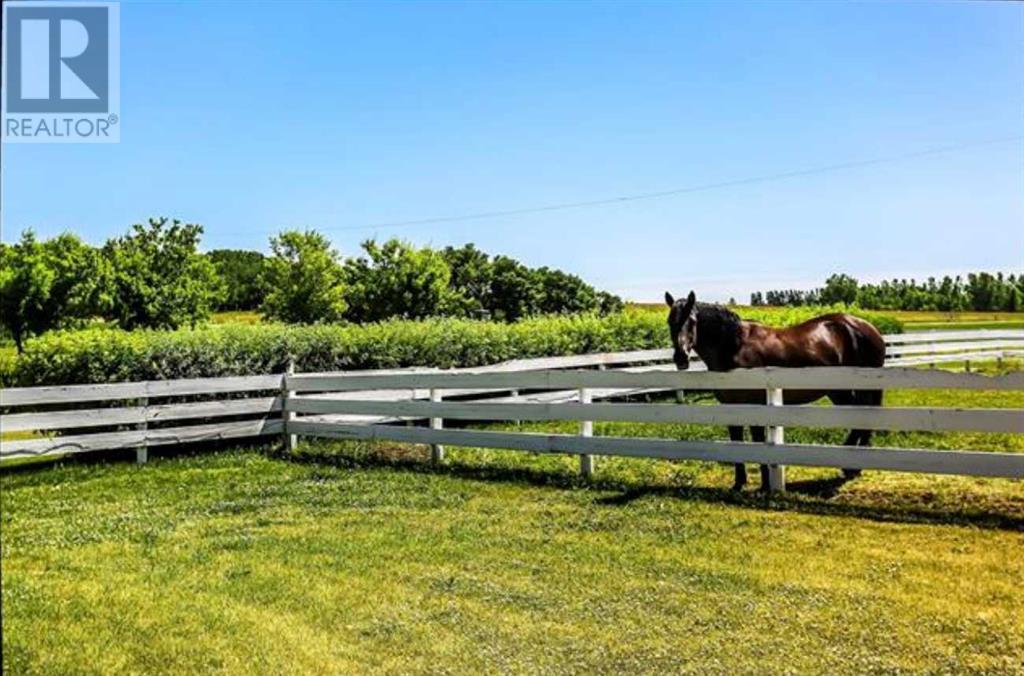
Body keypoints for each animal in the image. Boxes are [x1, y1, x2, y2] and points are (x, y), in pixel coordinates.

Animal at [667, 290, 884, 491]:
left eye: (692, 321)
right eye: (670, 321)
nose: (681, 358)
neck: (734, 346)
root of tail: (867, 328)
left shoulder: (755, 405)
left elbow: (757, 440)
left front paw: (764, 485)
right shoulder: (731, 407)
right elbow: (736, 440)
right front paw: (738, 483)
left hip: (841, 390)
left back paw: (850, 467)